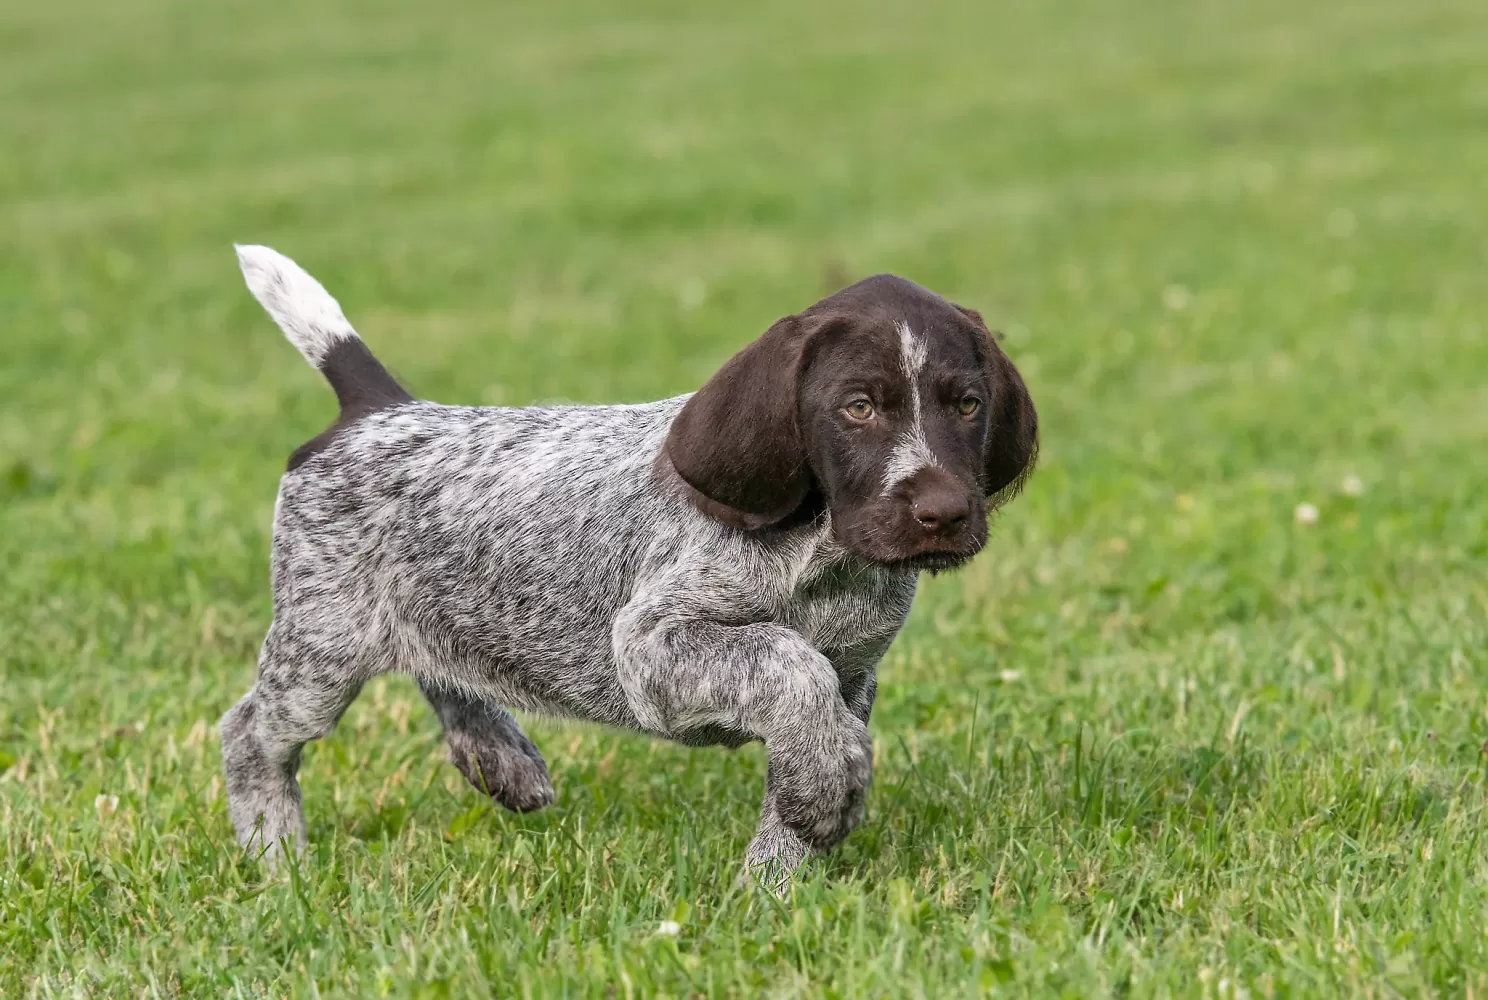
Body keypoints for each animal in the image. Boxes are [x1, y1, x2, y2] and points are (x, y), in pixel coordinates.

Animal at [220, 245, 1035, 880]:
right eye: (858, 407)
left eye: (967, 404)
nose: (944, 514)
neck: (824, 556)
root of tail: (378, 411)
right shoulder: (650, 645)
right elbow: (788, 662)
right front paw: (823, 797)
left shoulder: (856, 672)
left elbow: (808, 740)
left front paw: (774, 884)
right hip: (323, 646)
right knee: (248, 735)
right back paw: (279, 861)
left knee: (443, 667)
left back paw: (499, 756)